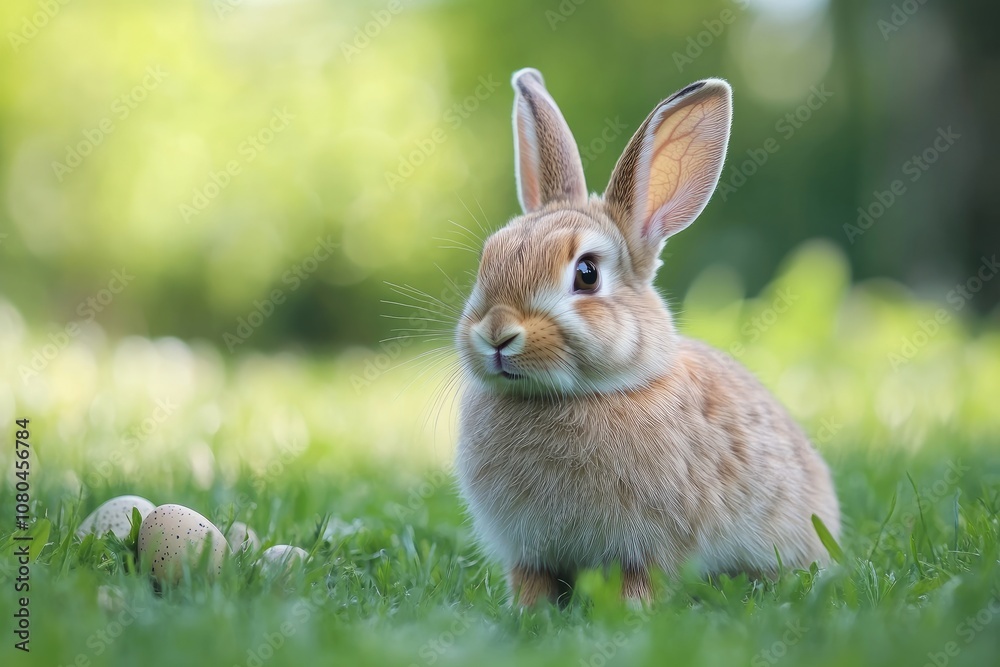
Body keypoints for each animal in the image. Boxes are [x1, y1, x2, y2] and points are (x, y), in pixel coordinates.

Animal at [454, 68, 840, 606]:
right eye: (488, 258)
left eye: (587, 274)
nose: (496, 334)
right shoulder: (529, 552)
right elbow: (532, 583)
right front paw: (528, 613)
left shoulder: (646, 548)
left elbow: (639, 583)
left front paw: (630, 614)